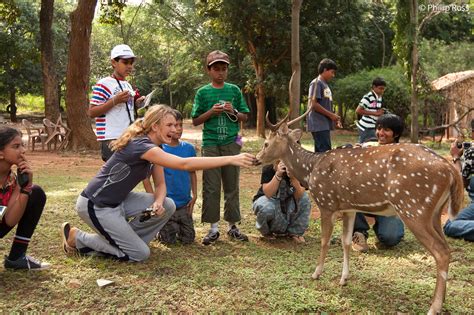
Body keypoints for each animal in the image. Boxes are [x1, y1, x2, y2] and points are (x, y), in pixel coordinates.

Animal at [256, 110, 462, 314]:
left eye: (266, 143)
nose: (257, 158)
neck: (310, 169)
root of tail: (450, 170)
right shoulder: (349, 208)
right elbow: (346, 242)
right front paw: (344, 279)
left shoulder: (327, 203)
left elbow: (325, 241)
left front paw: (316, 273)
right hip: (434, 212)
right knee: (447, 248)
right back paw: (441, 301)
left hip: (413, 207)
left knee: (441, 251)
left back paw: (434, 307)